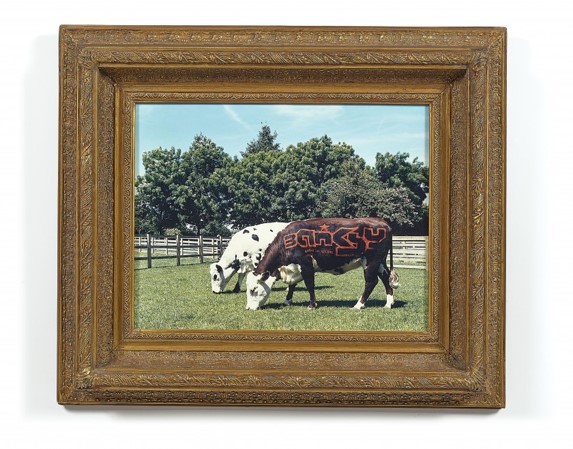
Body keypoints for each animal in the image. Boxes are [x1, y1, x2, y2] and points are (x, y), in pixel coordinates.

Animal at [245, 217, 400, 311]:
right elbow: (292, 286)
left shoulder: (305, 264)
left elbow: (309, 285)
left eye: (254, 290)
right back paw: (388, 304)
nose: (248, 308)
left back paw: (358, 305)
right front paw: (287, 301)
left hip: (371, 261)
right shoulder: (294, 268)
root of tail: (381, 221)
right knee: (386, 279)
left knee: (371, 282)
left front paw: (312, 305)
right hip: (380, 262)